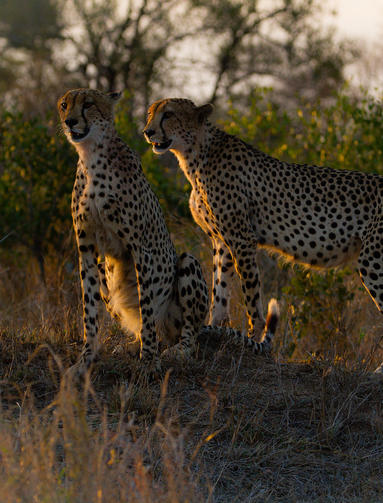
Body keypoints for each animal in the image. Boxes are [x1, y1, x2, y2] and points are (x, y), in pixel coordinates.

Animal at [57, 89, 213, 374]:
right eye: (64, 105)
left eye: (88, 104)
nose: (70, 121)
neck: (91, 156)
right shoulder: (86, 247)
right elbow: (89, 309)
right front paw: (86, 358)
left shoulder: (140, 247)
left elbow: (147, 305)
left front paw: (150, 360)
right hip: (106, 275)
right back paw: (132, 345)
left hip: (188, 264)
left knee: (187, 334)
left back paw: (178, 351)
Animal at [143, 98, 383, 372]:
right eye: (150, 113)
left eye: (169, 114)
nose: (148, 131)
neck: (196, 153)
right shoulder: (221, 242)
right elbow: (219, 294)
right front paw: (216, 330)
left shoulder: (242, 239)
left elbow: (252, 301)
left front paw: (252, 343)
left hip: (373, 261)